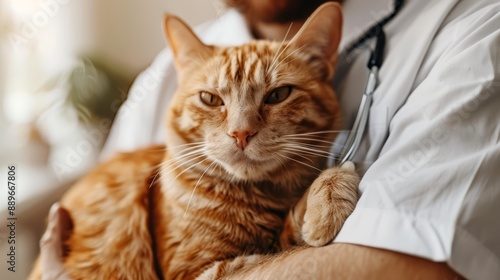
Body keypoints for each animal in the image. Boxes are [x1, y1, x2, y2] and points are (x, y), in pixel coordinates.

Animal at [29, 2, 360, 280]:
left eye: (278, 95)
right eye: (210, 99)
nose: (241, 133)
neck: (256, 198)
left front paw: (329, 193)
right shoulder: (197, 271)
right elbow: (276, 244)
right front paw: (324, 206)